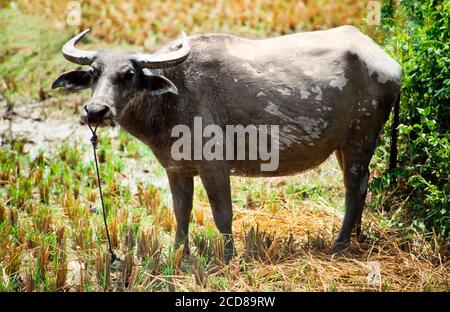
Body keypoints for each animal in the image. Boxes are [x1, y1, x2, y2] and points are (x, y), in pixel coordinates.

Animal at [51, 25, 400, 262]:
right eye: (94, 73)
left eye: (128, 74)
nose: (96, 111)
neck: (174, 97)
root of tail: (391, 65)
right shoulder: (177, 169)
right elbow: (181, 211)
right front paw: (179, 253)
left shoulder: (214, 166)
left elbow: (223, 215)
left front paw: (230, 257)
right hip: (344, 145)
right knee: (362, 185)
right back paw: (356, 236)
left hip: (361, 138)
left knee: (353, 189)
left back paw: (340, 244)